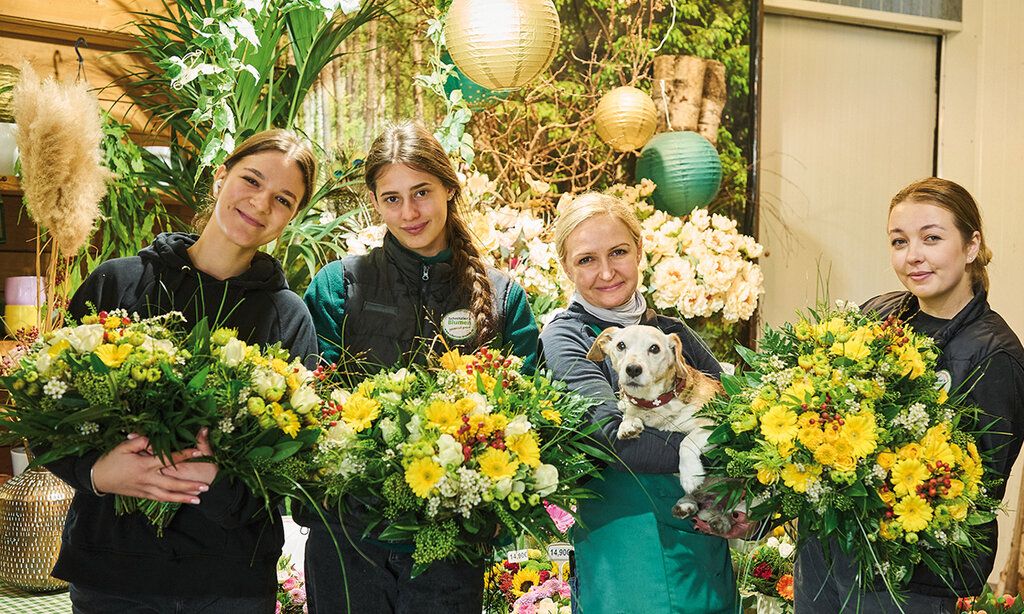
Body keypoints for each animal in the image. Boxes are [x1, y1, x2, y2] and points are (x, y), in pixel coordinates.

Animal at [585, 325, 737, 532]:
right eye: (621, 345)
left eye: (654, 348)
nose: (633, 369)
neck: (654, 404)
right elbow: (627, 412)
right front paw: (628, 424)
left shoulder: (714, 425)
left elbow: (685, 442)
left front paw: (689, 474)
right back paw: (687, 504)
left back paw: (721, 520)